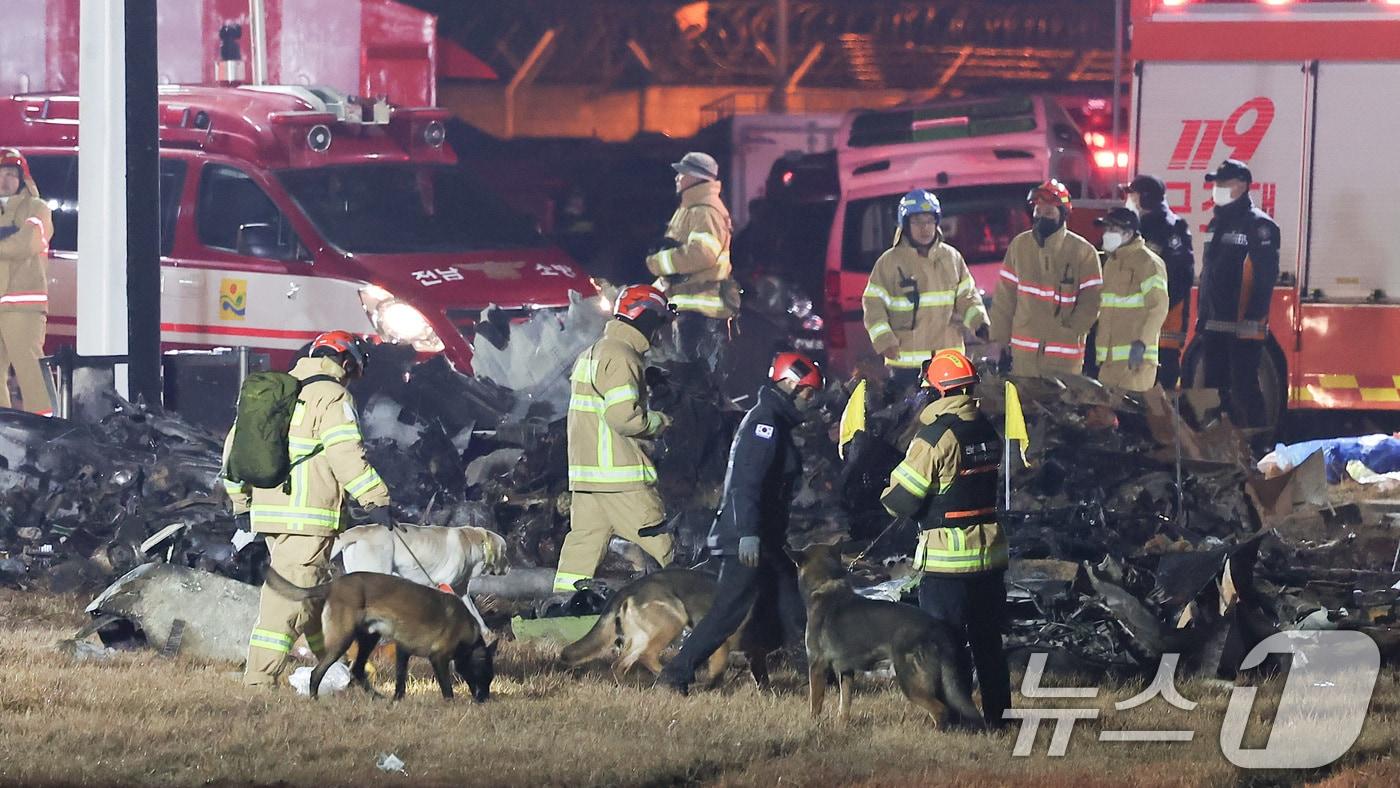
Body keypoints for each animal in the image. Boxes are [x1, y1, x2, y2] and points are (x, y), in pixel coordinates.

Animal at [263, 568, 498, 702]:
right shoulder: (438, 658)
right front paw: (450, 703)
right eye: (484, 675)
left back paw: (376, 697)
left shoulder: (403, 650)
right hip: (343, 640)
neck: (468, 637)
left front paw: (397, 701)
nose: (484, 700)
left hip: (369, 638)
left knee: (357, 670)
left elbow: (400, 680)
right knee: (317, 672)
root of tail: (333, 584)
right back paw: (314, 699)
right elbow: (447, 687)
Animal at [795, 545, 980, 733]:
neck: (826, 585)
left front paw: (812, 727)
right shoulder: (846, 671)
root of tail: (936, 627)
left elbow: (815, 704)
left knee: (940, 710)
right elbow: (844, 706)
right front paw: (842, 727)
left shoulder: (817, 666)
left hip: (909, 682)